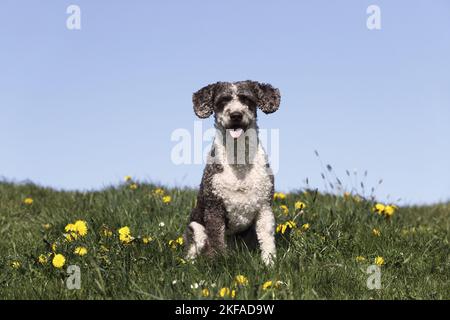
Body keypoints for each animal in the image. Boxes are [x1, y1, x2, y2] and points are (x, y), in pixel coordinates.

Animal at [184, 80, 282, 264]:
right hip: (195, 229)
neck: (239, 164)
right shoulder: (214, 207)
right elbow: (217, 241)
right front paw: (219, 263)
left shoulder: (264, 207)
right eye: (223, 101)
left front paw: (269, 263)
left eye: (246, 99)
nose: (236, 115)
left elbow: (267, 239)